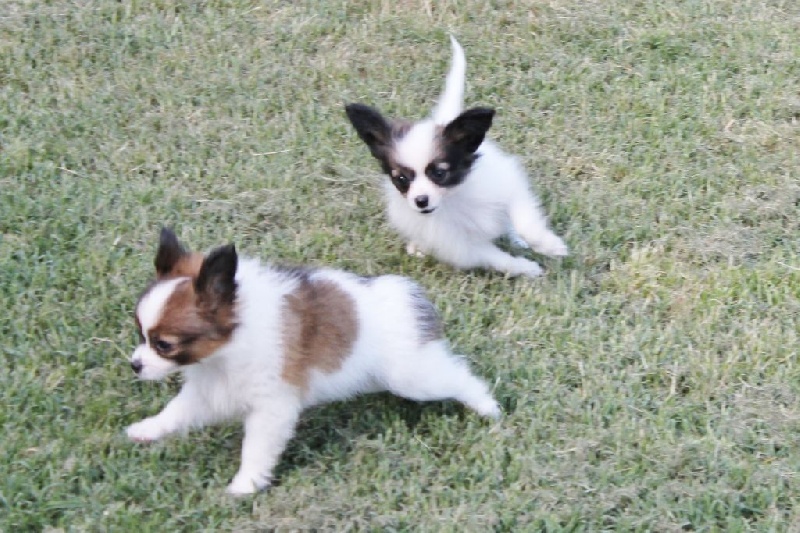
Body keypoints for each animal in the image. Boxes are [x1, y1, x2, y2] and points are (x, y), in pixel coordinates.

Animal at [126, 228, 500, 494]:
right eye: (140, 334)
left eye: (163, 345)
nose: (135, 365)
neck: (230, 342)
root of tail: (409, 297)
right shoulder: (210, 390)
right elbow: (174, 413)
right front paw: (146, 430)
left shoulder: (272, 406)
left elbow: (256, 448)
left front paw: (245, 485)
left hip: (412, 377)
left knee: (459, 376)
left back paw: (487, 406)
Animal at [346, 37, 568, 278]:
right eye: (401, 179)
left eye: (439, 173)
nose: (421, 201)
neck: (454, 197)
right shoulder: (462, 247)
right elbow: (497, 258)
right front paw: (526, 268)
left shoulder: (508, 186)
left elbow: (524, 220)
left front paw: (549, 245)